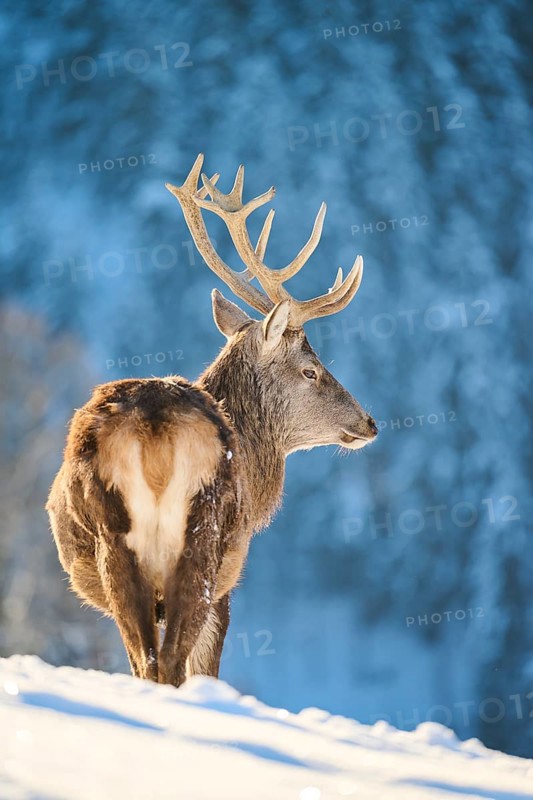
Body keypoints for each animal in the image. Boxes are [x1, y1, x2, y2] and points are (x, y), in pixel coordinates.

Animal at [46, 154, 378, 687]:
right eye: (311, 369)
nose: (370, 422)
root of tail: (155, 427)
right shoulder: (228, 580)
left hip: (113, 542)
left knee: (147, 661)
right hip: (201, 535)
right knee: (168, 662)